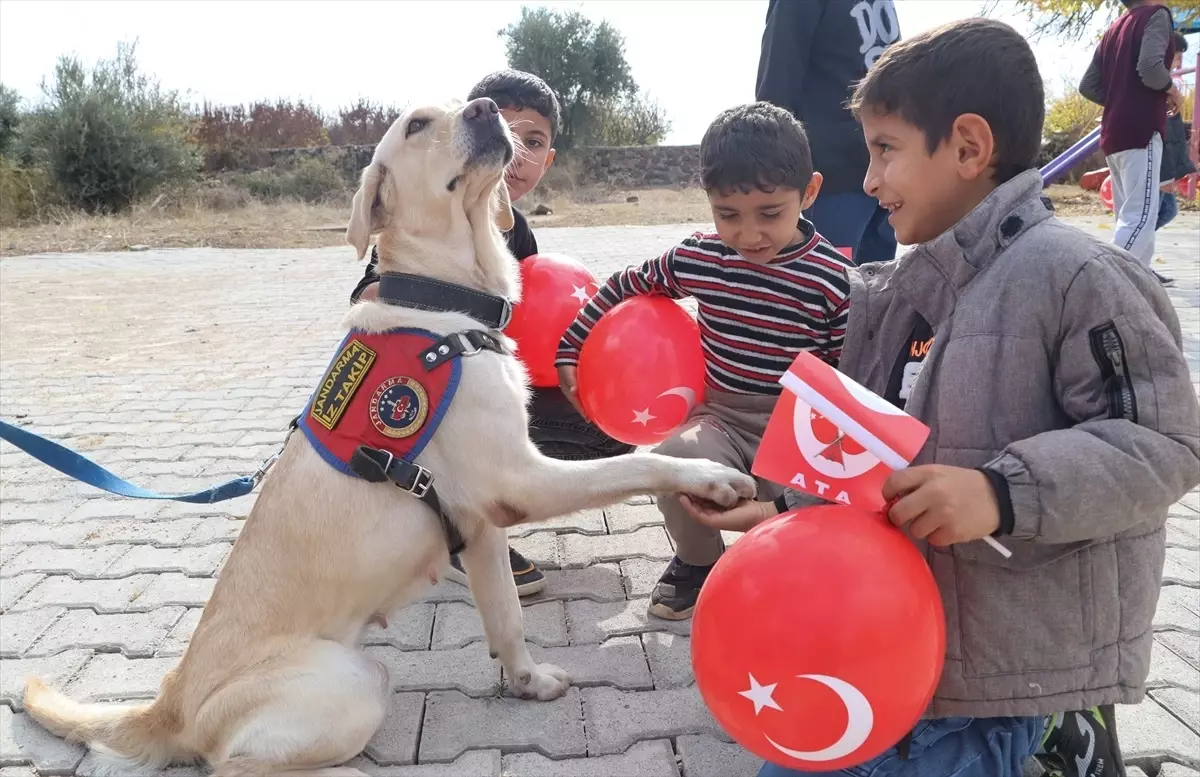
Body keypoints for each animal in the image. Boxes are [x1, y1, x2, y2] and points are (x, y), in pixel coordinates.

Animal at [21, 97, 758, 777]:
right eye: (417, 125)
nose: (487, 107)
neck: (444, 304)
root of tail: (168, 700)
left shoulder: (482, 529)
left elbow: (508, 621)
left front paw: (528, 681)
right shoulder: (522, 478)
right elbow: (640, 462)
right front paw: (710, 477)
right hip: (356, 679)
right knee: (231, 766)